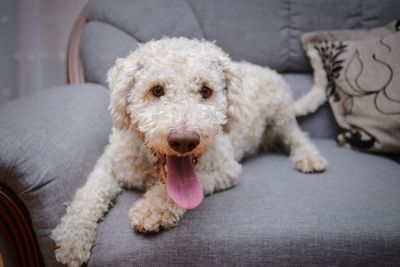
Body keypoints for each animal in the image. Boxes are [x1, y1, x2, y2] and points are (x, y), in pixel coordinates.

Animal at [52, 37, 328, 266]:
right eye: (157, 89)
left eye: (205, 90)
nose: (184, 141)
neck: (150, 168)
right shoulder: (109, 165)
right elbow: (87, 197)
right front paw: (72, 239)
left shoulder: (226, 170)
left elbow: (180, 192)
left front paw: (153, 209)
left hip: (280, 114)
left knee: (297, 135)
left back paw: (309, 157)